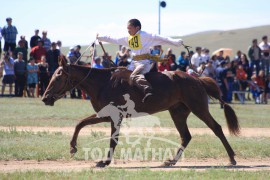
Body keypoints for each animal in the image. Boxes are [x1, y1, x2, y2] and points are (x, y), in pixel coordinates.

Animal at [42, 56, 240, 167]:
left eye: (58, 77)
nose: (45, 98)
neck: (103, 83)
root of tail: (196, 79)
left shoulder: (115, 117)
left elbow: (113, 140)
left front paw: (105, 162)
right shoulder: (105, 115)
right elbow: (80, 123)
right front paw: (73, 147)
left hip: (198, 108)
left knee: (217, 128)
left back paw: (231, 158)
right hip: (177, 113)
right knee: (186, 136)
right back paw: (171, 161)